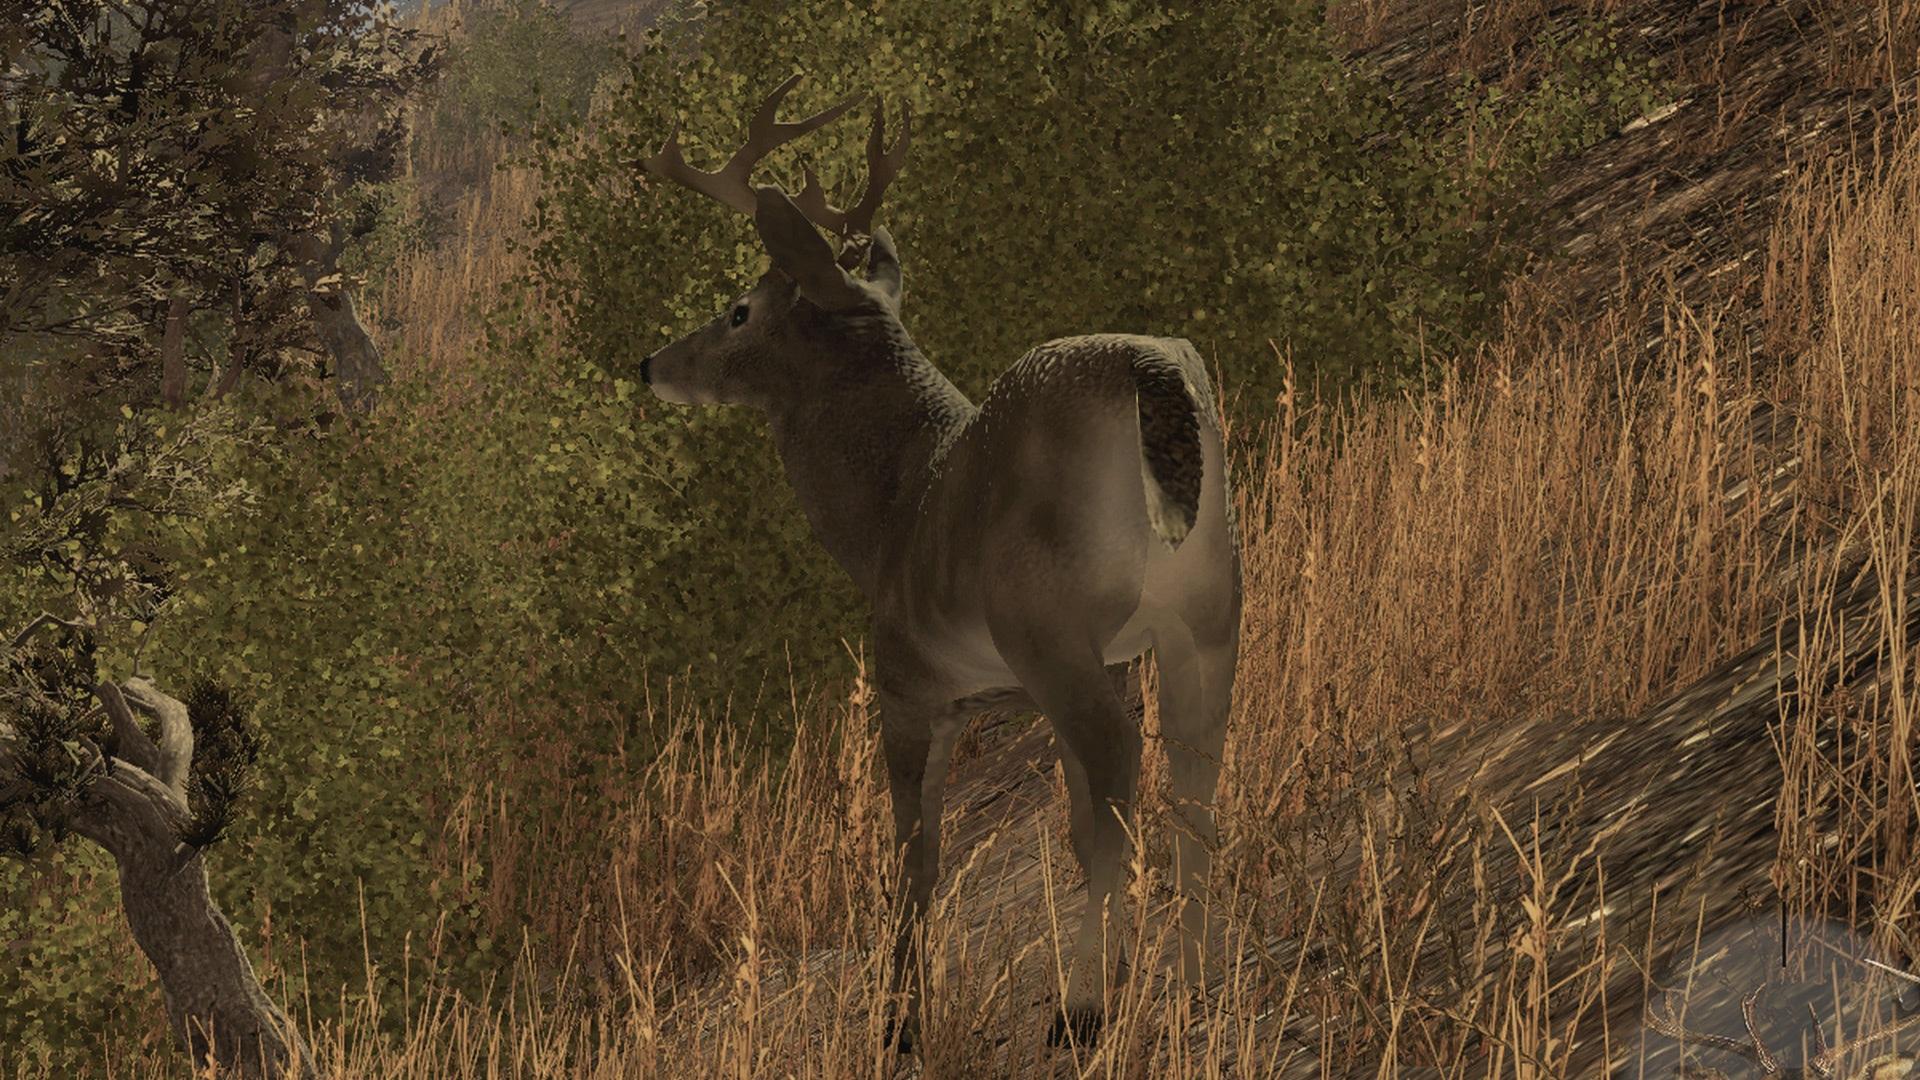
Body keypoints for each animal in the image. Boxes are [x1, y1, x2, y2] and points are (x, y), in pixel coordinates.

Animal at [633, 74, 1242, 1051]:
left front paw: (899, 1025)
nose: (650, 362)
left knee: (1122, 760)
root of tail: (1150, 373)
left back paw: (1081, 1010)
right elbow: (1066, 825)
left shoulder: (912, 687)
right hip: (1209, 596)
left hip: (1049, 618)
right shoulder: (1047, 677)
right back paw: (1191, 982)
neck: (890, 513)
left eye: (737, 310)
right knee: (1196, 765)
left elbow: (915, 857)